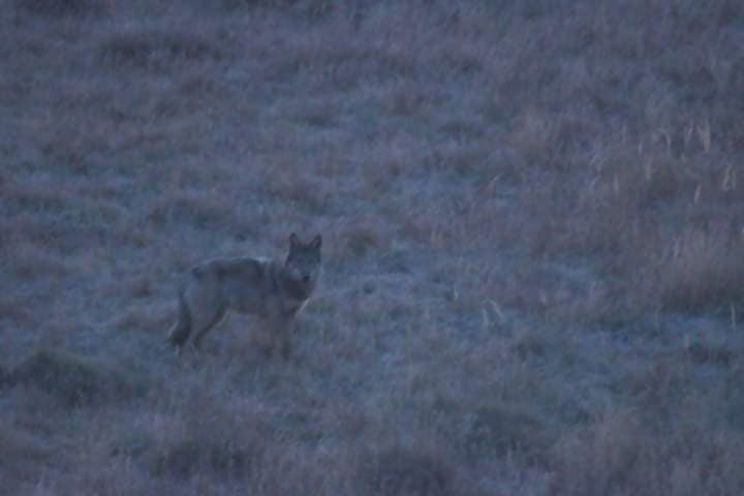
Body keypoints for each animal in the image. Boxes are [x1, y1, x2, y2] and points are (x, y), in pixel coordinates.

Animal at [167, 232, 322, 356]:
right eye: (299, 261)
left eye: (310, 262)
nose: (306, 276)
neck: (289, 282)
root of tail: (193, 271)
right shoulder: (275, 315)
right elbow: (276, 341)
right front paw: (276, 359)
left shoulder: (290, 315)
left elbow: (288, 341)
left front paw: (288, 357)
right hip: (207, 317)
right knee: (189, 340)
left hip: (216, 318)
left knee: (194, 339)